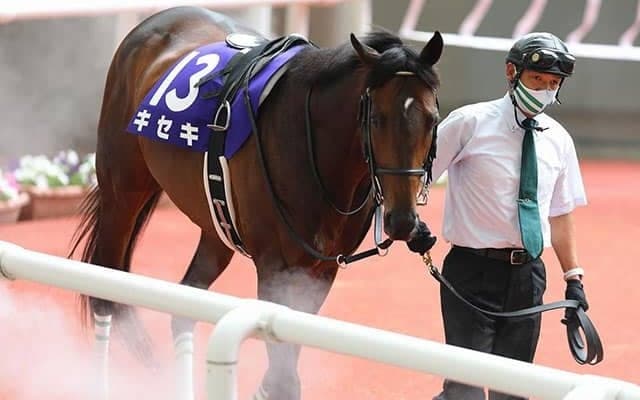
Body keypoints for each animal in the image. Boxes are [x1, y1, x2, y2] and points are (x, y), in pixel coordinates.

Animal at [69, 6, 442, 400]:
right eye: (375, 119)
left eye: (432, 118)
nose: (402, 221)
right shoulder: (275, 267)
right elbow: (283, 378)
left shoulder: (320, 272)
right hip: (122, 191)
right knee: (105, 296)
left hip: (216, 222)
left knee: (184, 307)